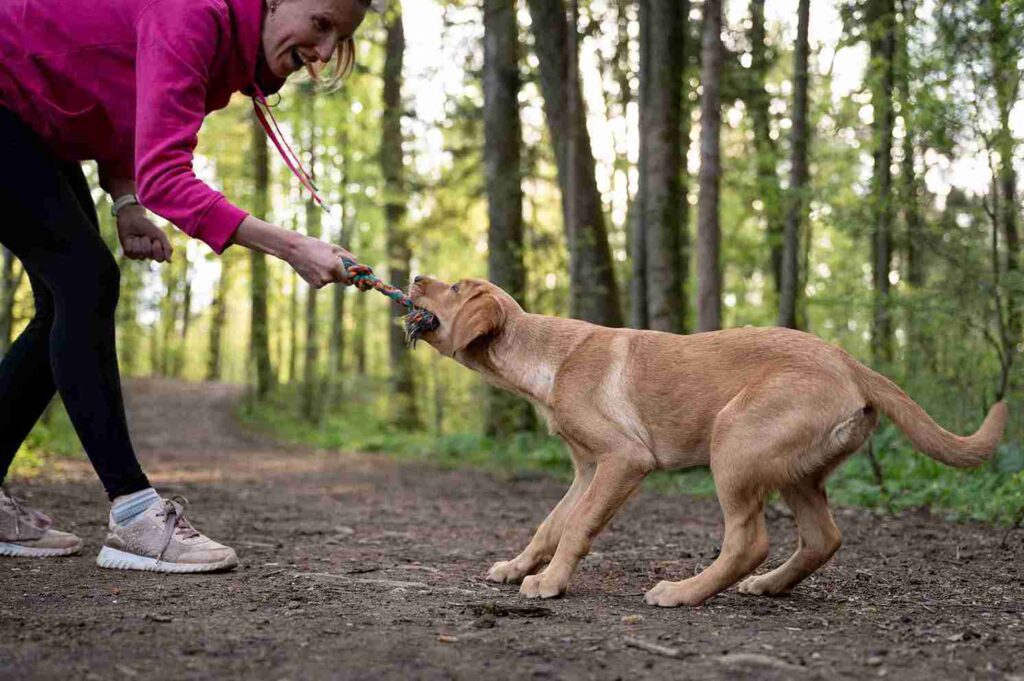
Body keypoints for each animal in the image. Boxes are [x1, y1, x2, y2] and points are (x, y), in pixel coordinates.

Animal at [407, 276, 1007, 606]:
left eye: (455, 288)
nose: (413, 276)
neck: (547, 357)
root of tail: (851, 363)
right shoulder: (586, 469)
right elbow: (550, 524)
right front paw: (517, 567)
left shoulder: (624, 460)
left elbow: (576, 527)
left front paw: (550, 583)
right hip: (794, 469)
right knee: (822, 538)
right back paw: (768, 586)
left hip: (734, 442)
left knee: (748, 541)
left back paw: (682, 592)